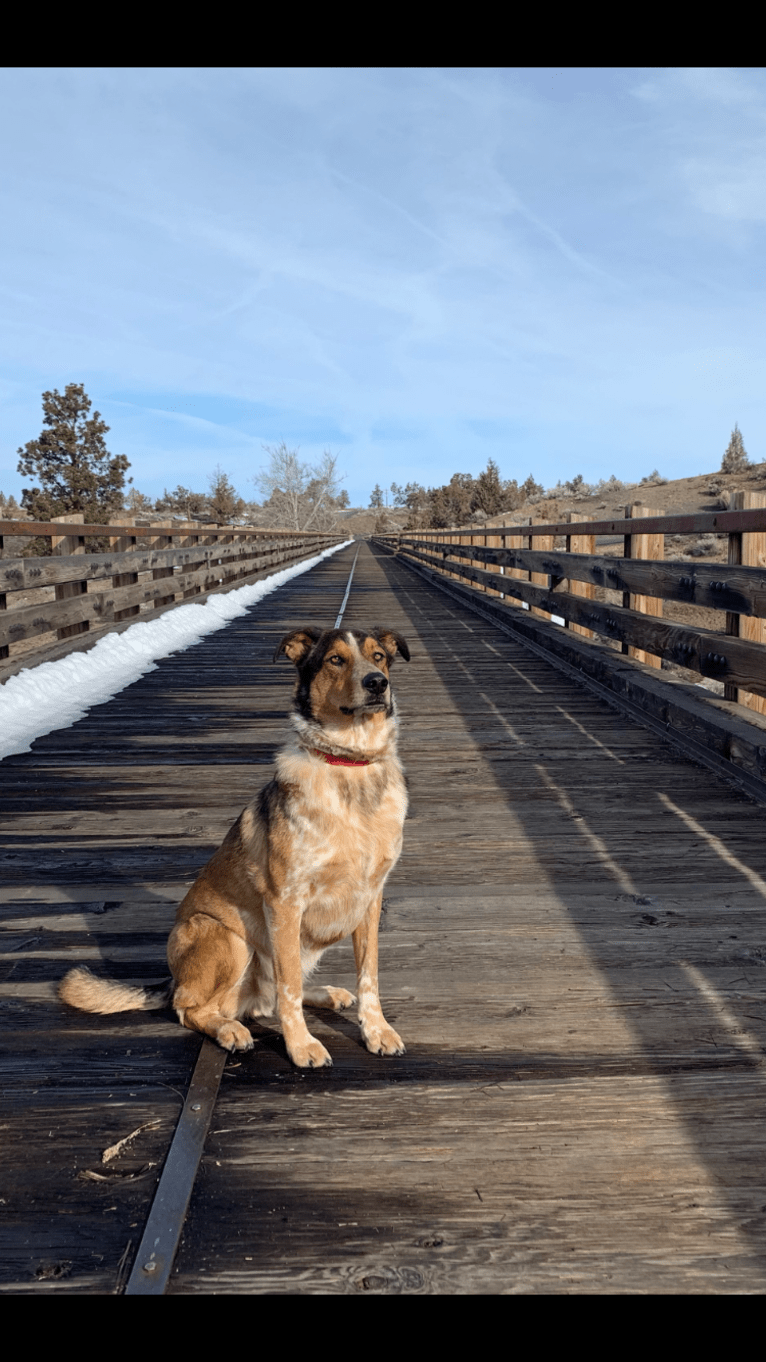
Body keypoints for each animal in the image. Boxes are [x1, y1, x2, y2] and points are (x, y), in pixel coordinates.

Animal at [58, 623, 411, 1062]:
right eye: (335, 660)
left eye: (378, 656)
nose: (378, 683)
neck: (349, 764)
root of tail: (174, 979)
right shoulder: (285, 902)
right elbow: (289, 987)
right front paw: (301, 1046)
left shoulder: (370, 899)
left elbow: (369, 977)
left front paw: (376, 1031)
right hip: (226, 936)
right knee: (194, 1007)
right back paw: (229, 1029)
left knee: (271, 996)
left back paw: (325, 994)